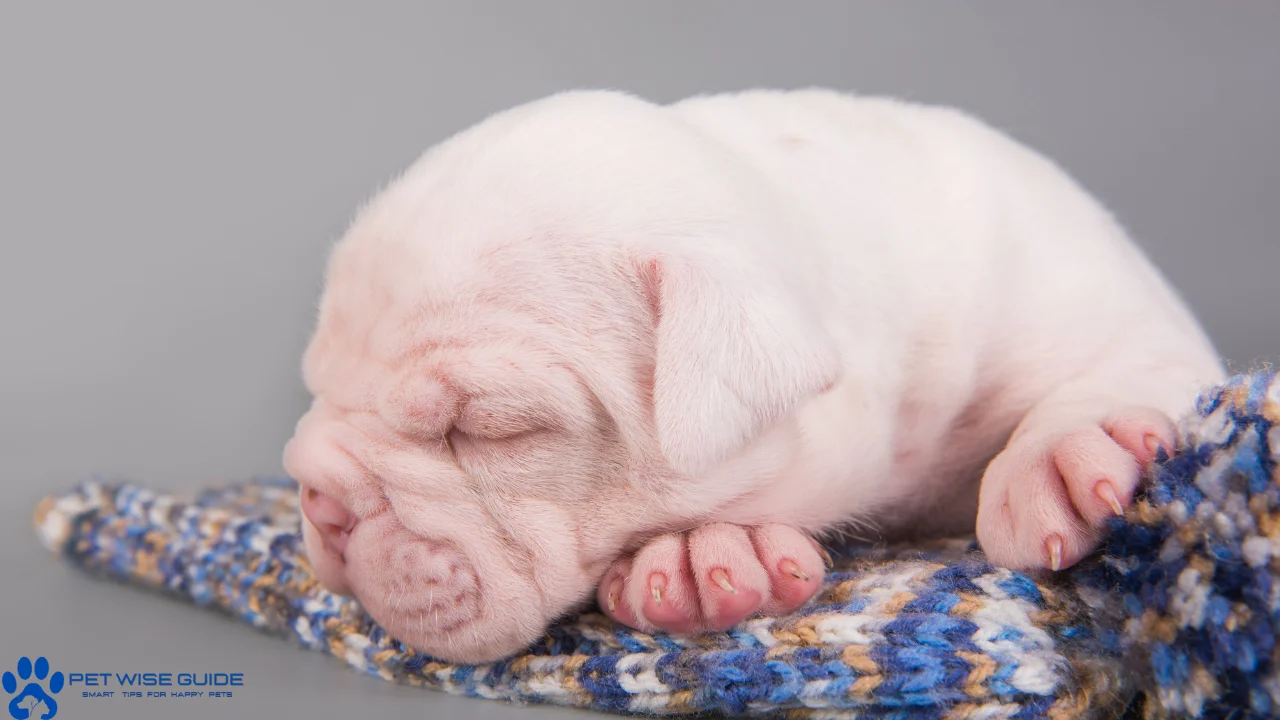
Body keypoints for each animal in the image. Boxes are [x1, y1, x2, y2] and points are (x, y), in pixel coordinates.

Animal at [285, 88, 1223, 661]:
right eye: (317, 385)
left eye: (492, 431)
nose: (319, 499)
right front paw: (706, 554)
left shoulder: (1107, 301)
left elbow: (1127, 363)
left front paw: (1068, 452)